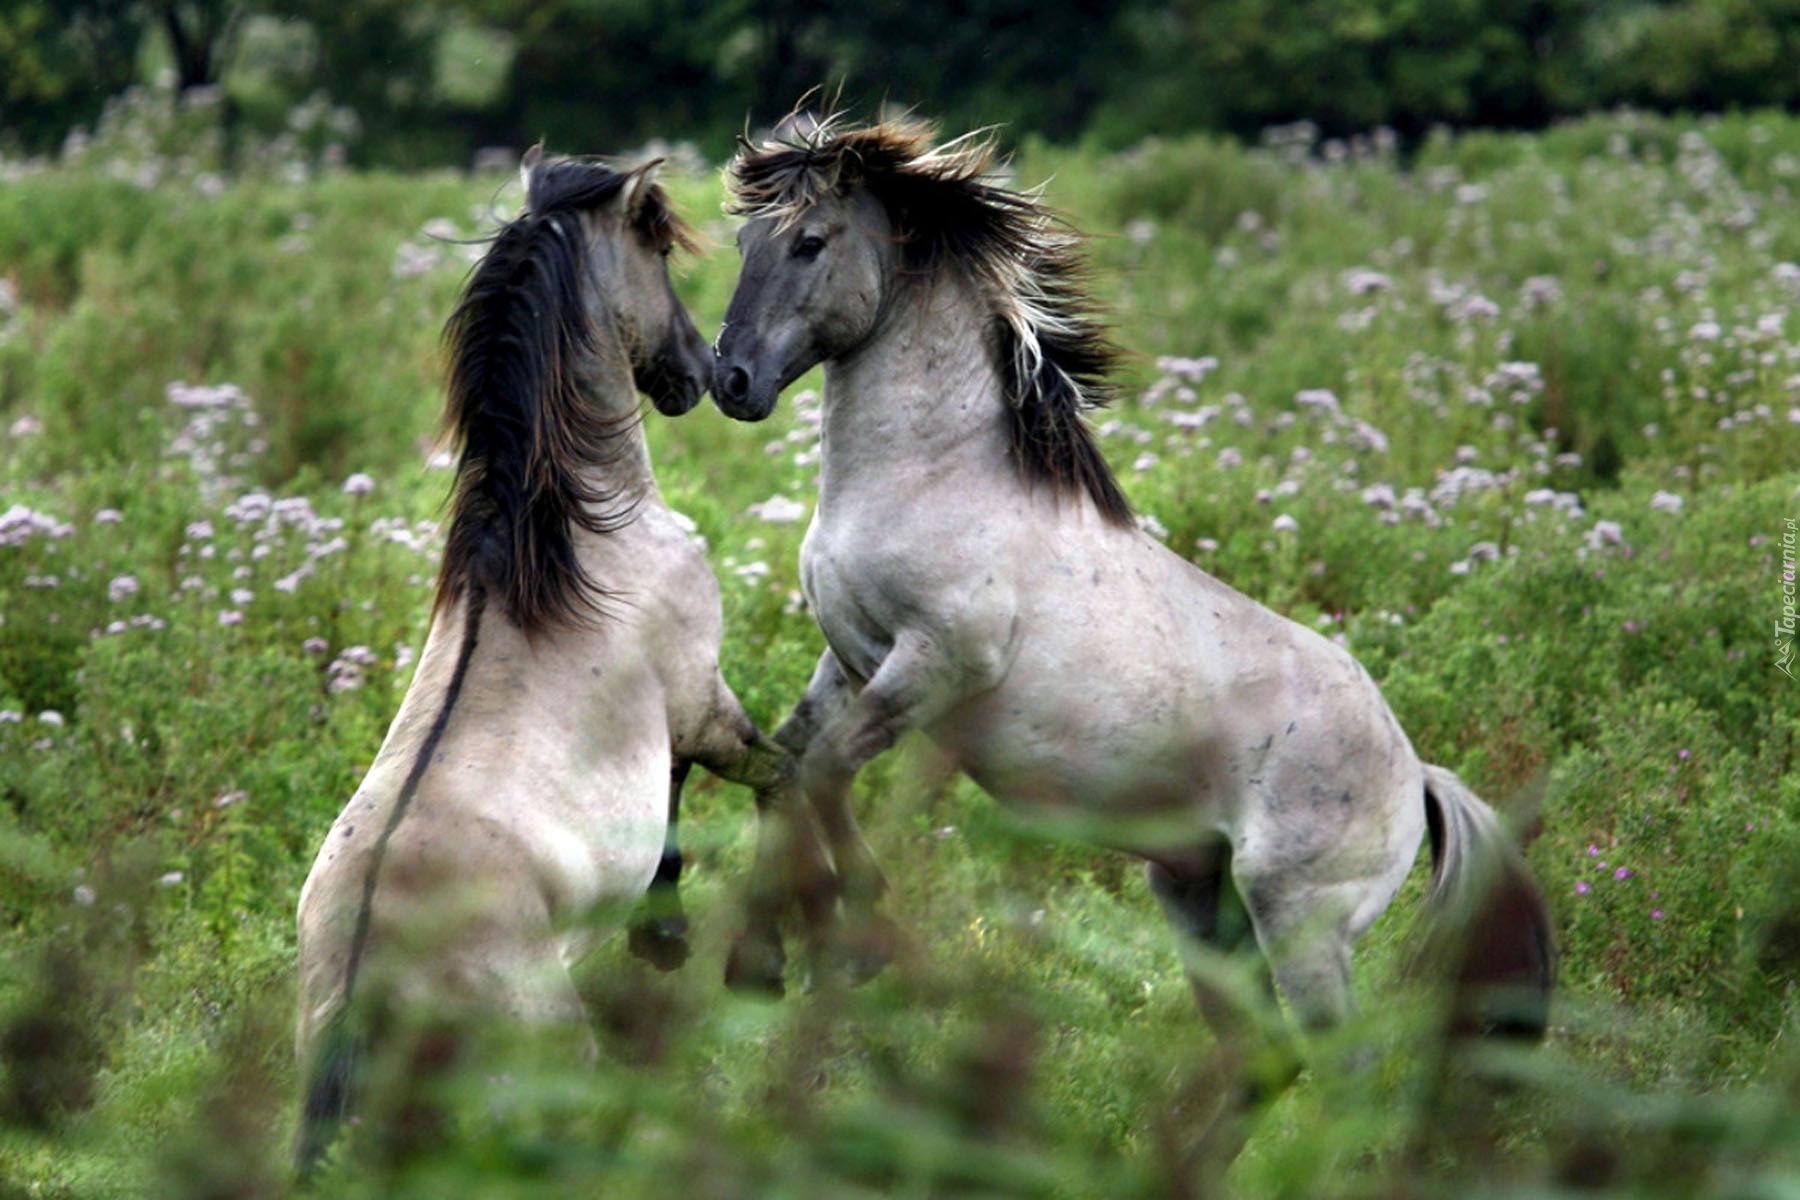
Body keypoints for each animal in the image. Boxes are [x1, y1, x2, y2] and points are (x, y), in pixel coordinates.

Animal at [293, 147, 828, 1173]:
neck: (583, 541)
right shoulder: (701, 705)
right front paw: (758, 963)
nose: (704, 371)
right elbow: (780, 780)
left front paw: (669, 935)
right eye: (658, 247)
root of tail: (371, 983)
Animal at [709, 112, 1555, 1065]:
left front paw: (861, 939)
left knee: (1346, 1064)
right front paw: (760, 959)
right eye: (744, 240)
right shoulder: (850, 658)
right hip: (1196, 900)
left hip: (1301, 924)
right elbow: (779, 767)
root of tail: (1416, 776)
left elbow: (821, 771)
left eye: (810, 242)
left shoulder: (939, 662)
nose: (731, 379)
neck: (928, 480)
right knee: (1267, 1058)